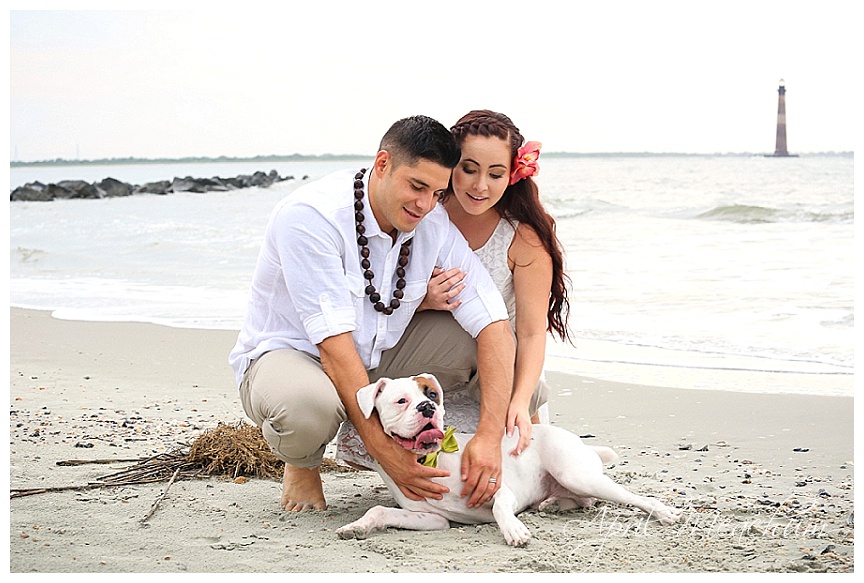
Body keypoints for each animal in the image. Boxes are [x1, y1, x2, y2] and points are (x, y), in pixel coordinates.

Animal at [338, 374, 680, 548]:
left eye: (432, 395)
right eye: (401, 401)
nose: (427, 407)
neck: (431, 459)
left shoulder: (499, 488)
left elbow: (500, 505)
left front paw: (514, 530)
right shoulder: (431, 519)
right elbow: (379, 510)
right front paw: (357, 526)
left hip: (576, 474)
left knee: (634, 498)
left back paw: (664, 512)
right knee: (583, 502)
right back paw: (552, 505)